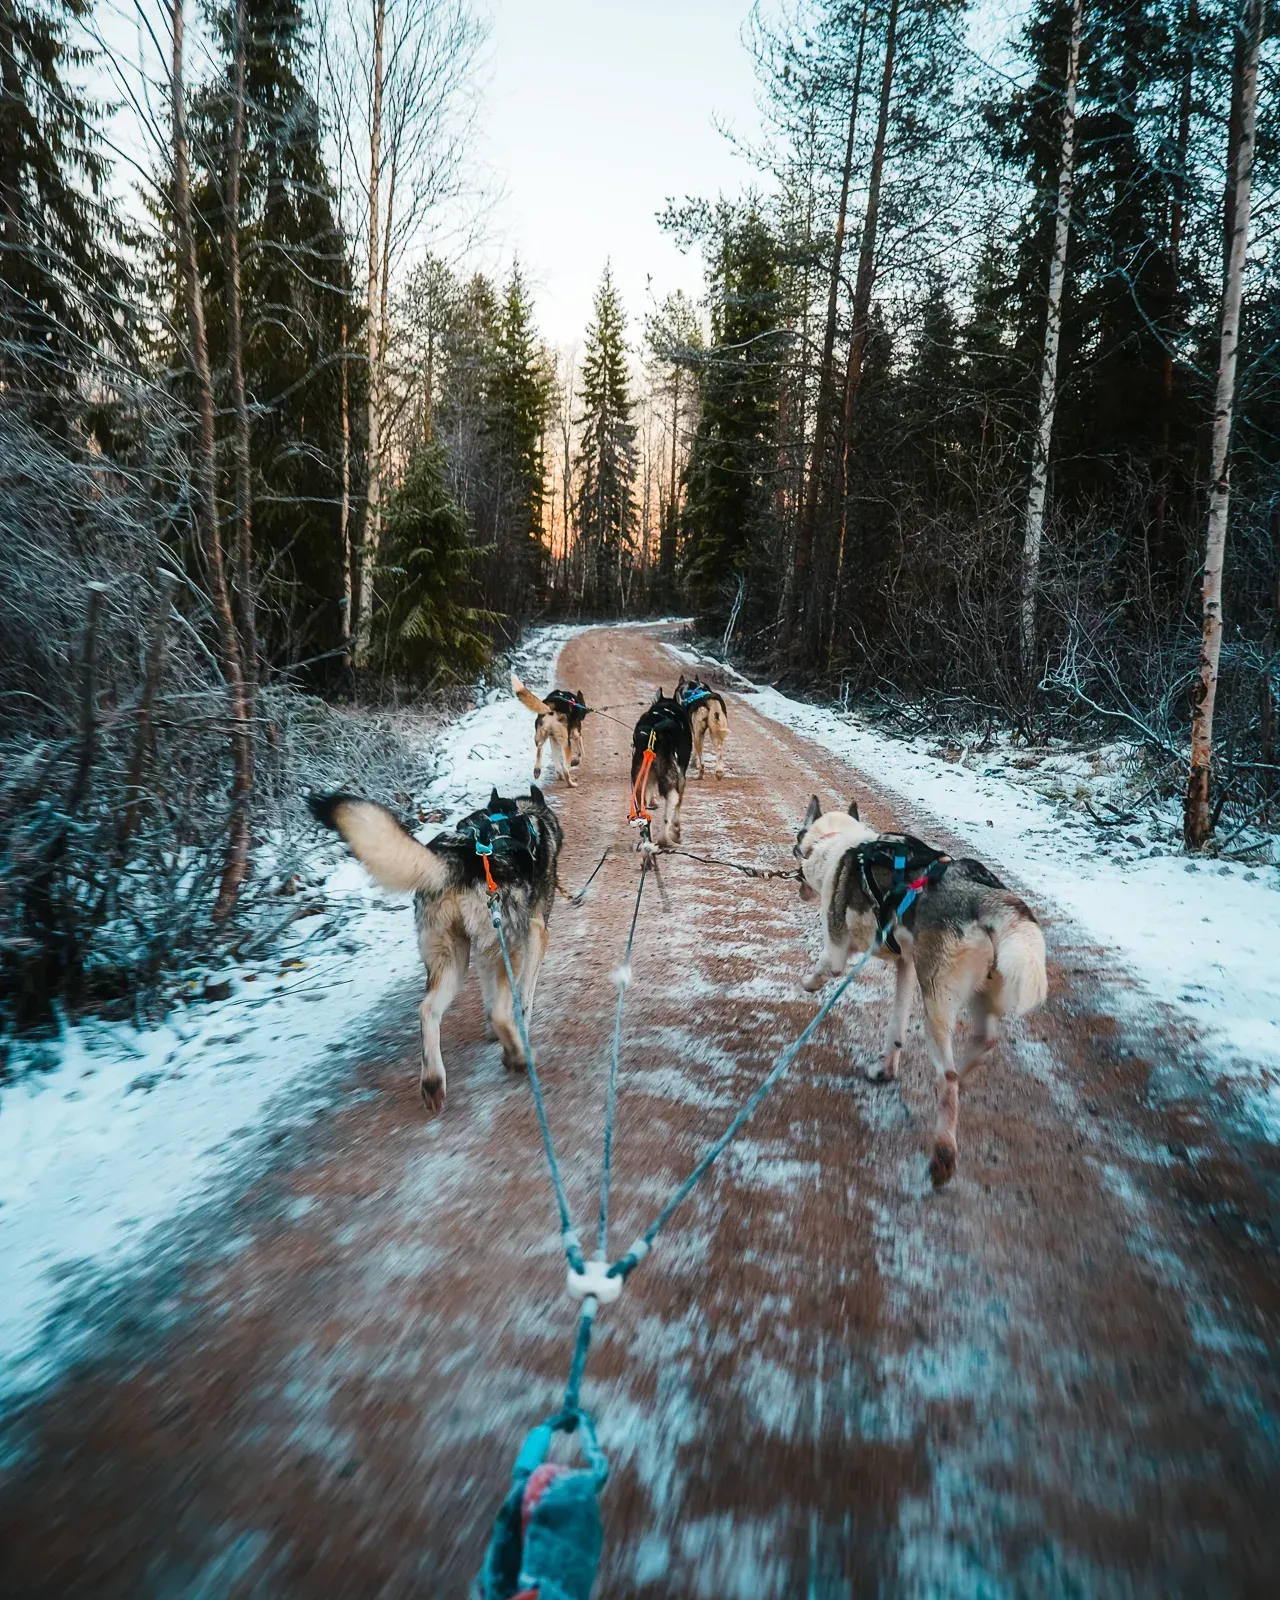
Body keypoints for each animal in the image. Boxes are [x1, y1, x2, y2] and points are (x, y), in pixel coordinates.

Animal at [307, 784, 563, 1113]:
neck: (523, 815)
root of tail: (458, 859)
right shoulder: (534, 935)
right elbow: (522, 1000)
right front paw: (516, 1030)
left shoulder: (485, 953)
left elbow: (490, 996)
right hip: (505, 949)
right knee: (499, 1012)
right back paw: (518, 1056)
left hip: (453, 961)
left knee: (428, 1009)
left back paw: (432, 1081)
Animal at [627, 694, 691, 857]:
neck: (666, 709)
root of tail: (656, 733)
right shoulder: (681, 778)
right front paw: (677, 832)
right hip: (672, 783)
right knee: (667, 815)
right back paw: (664, 840)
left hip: (638, 782)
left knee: (642, 812)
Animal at [790, 793, 1049, 1184]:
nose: (798, 884)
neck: (838, 842)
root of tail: (985, 894)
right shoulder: (906, 967)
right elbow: (896, 1032)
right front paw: (884, 1070)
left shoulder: (837, 950)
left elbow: (825, 968)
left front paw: (809, 983)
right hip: (976, 993)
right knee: (983, 1043)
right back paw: (963, 1079)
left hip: (936, 1002)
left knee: (948, 1075)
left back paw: (943, 1155)